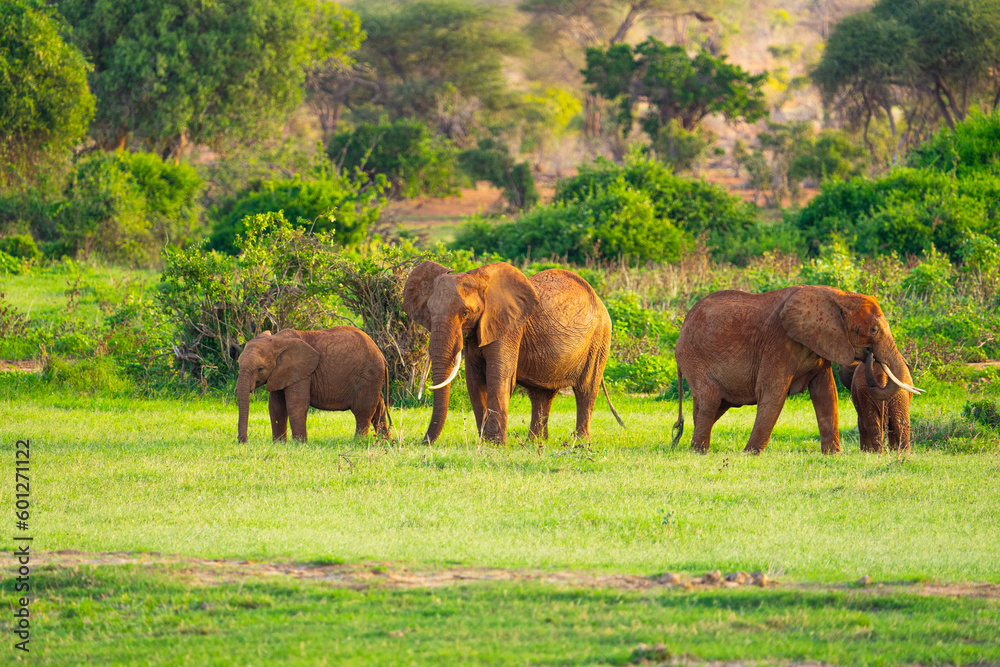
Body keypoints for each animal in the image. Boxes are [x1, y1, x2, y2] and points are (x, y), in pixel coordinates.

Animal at [235, 328, 390, 444]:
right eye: (238, 364)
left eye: (260, 369)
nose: (243, 442)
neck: (277, 340)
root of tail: (381, 354)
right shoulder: (280, 373)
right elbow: (276, 406)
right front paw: (279, 444)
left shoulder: (301, 372)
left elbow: (296, 404)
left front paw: (299, 444)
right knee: (379, 408)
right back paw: (386, 442)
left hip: (369, 374)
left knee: (363, 411)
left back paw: (358, 442)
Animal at [400, 260, 620, 444]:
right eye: (429, 312)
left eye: (465, 313)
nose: (423, 442)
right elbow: (475, 381)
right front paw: (484, 443)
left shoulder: (509, 328)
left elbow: (499, 378)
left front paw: (495, 445)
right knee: (541, 395)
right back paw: (535, 443)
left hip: (599, 340)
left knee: (586, 389)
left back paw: (580, 443)